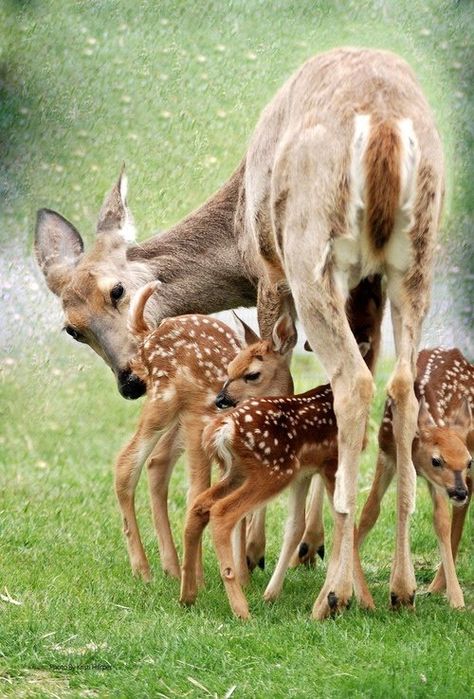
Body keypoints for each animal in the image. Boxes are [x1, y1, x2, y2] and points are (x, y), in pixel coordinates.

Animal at [34, 49, 444, 616]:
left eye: (116, 291)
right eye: (72, 330)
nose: (130, 381)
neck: (235, 232)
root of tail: (384, 125)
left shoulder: (269, 271)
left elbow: (281, 375)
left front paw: (256, 552)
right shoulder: (364, 287)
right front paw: (305, 545)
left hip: (308, 248)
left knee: (354, 382)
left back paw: (333, 594)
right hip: (416, 261)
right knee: (399, 386)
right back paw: (400, 587)